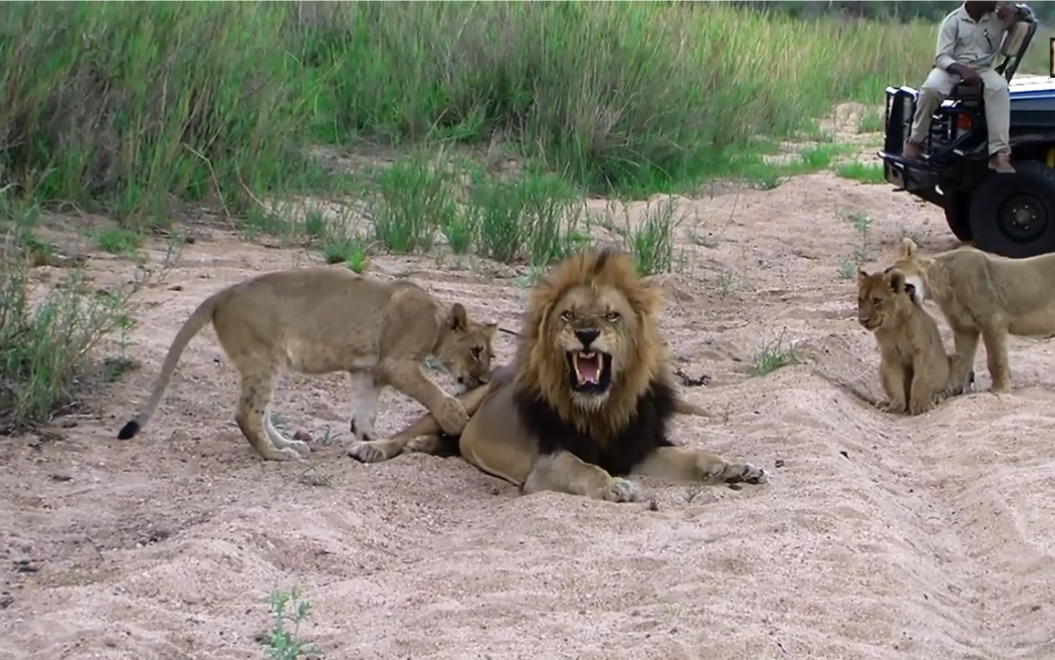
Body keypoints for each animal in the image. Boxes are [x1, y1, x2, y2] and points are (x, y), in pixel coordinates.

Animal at [350, 245, 772, 497]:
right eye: (568, 315)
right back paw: (375, 448)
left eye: (611, 316)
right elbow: (585, 469)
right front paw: (617, 489)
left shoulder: (635, 448)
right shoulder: (547, 463)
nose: (586, 334)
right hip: (467, 400)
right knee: (414, 428)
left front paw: (735, 468)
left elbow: (695, 456)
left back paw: (425, 447)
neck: (600, 409)